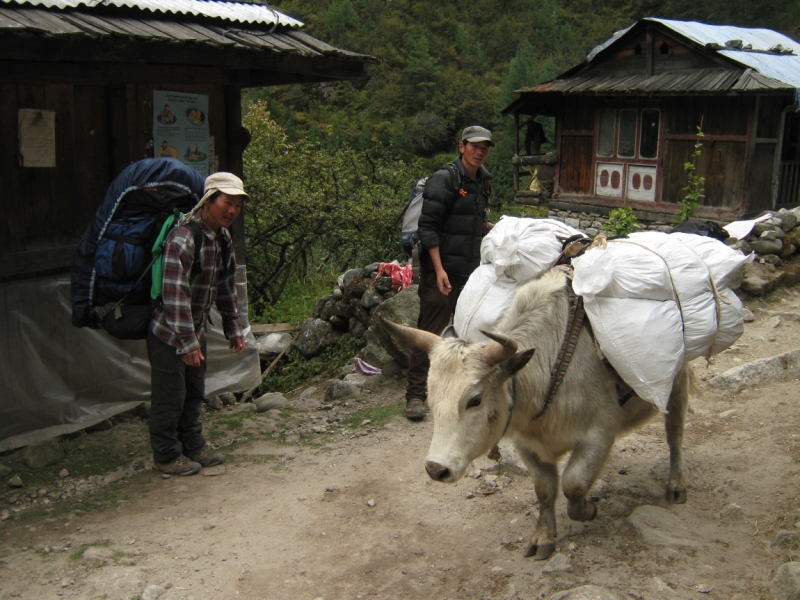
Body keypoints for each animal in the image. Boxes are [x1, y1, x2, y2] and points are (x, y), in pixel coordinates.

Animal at [378, 270, 692, 560]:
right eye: (430, 397)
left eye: (475, 399)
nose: (436, 469)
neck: (548, 370)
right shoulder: (527, 444)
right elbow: (545, 488)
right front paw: (543, 539)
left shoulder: (599, 434)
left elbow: (574, 483)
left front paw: (588, 509)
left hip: (677, 387)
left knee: (675, 434)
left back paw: (676, 486)